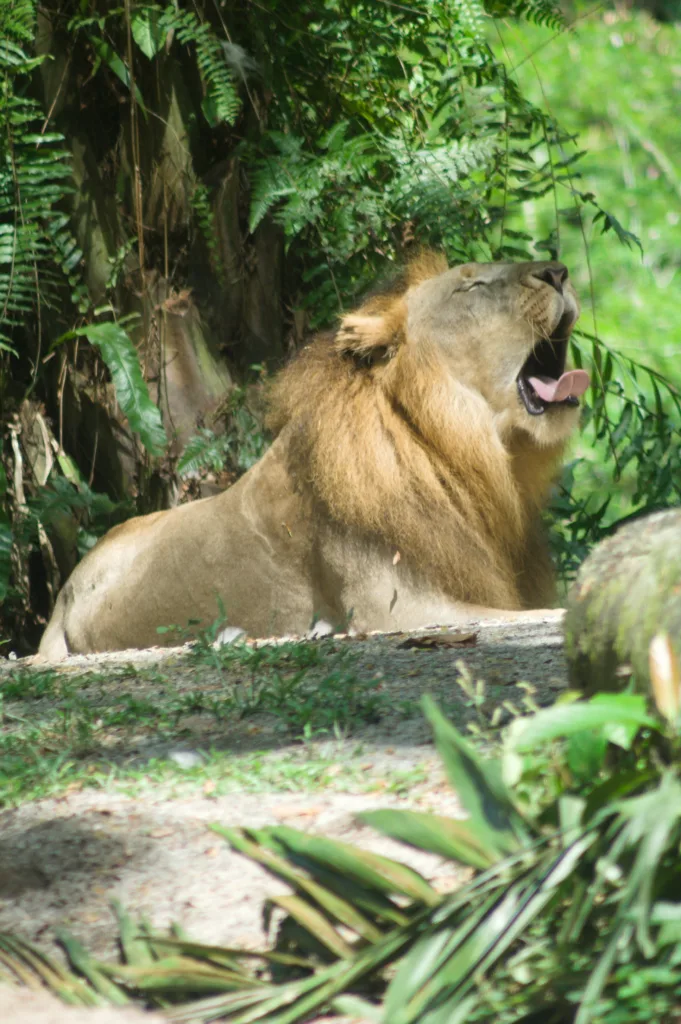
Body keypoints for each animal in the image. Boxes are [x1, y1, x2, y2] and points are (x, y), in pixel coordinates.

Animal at [38, 255, 588, 658]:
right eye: (469, 288)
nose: (558, 271)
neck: (450, 444)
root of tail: (64, 590)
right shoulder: (396, 610)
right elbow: (545, 615)